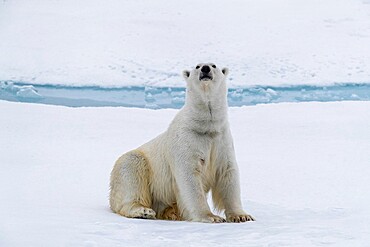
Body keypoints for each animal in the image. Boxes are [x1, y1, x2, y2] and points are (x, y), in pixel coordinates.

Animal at [110, 62, 254, 223]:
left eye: (213, 65)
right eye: (197, 66)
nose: (205, 68)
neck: (206, 127)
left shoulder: (221, 140)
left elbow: (227, 173)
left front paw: (242, 216)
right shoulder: (186, 140)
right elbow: (189, 176)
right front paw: (211, 217)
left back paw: (171, 212)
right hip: (139, 166)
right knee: (131, 173)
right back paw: (143, 211)